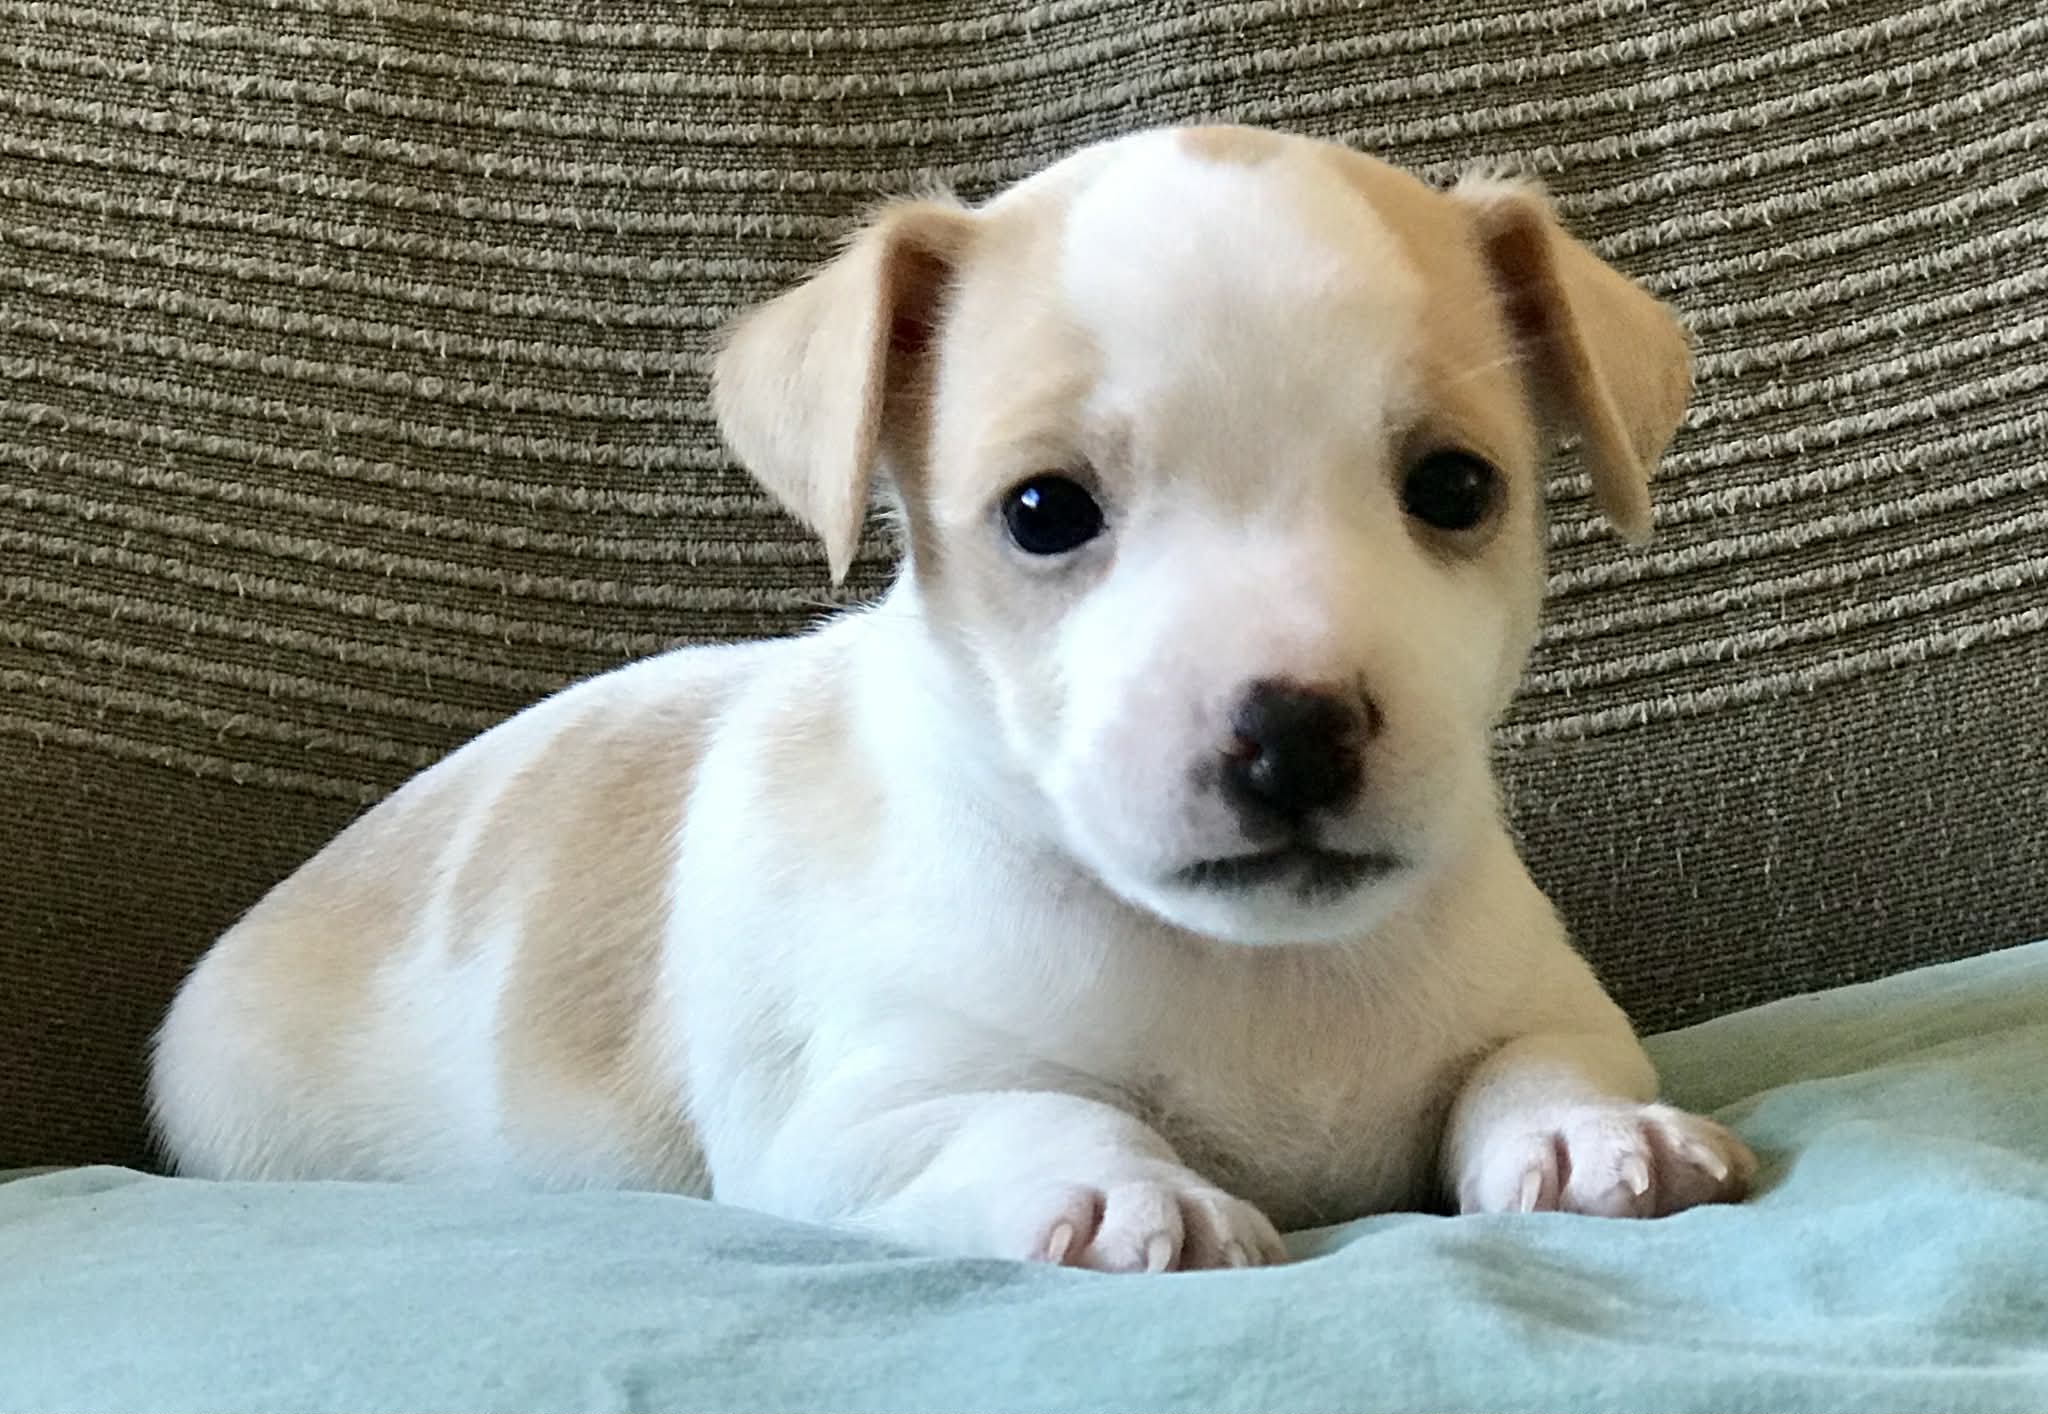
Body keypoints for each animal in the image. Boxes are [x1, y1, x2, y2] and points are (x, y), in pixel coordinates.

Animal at [151, 124, 1755, 1272]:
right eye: (1044, 511)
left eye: (1456, 488)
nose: (1293, 732)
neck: (1254, 973)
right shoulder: (866, 1118)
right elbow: (1027, 1110)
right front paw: (1123, 1190)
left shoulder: (1540, 1001)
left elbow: (1538, 1060)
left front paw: (1592, 1134)